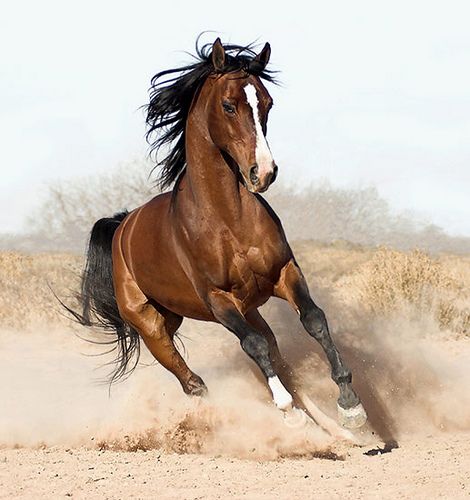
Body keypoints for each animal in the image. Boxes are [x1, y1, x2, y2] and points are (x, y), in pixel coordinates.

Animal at [75, 38, 368, 430]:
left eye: (267, 103)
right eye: (229, 105)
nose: (264, 172)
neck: (228, 220)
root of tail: (123, 226)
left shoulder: (285, 273)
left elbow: (314, 320)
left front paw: (350, 405)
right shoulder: (218, 300)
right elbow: (254, 346)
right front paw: (288, 410)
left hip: (240, 308)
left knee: (272, 351)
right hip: (152, 326)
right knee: (193, 381)